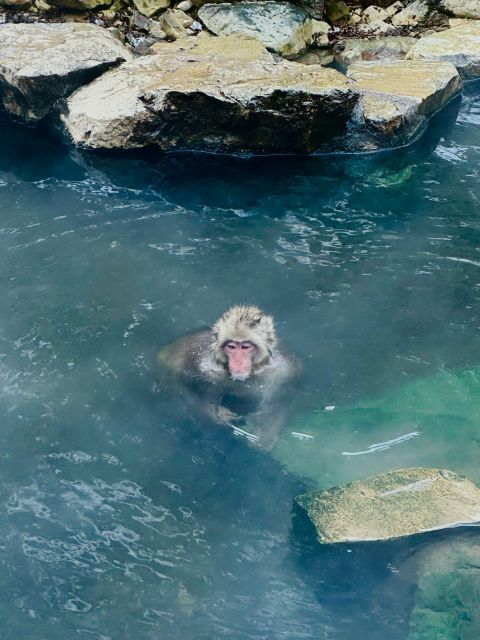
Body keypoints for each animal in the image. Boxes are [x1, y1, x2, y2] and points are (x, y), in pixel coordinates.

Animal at [158, 305, 298, 450]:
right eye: (231, 347)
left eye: (245, 347)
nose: (238, 362)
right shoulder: (203, 367)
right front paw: (218, 416)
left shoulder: (282, 372)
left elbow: (277, 405)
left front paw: (265, 437)